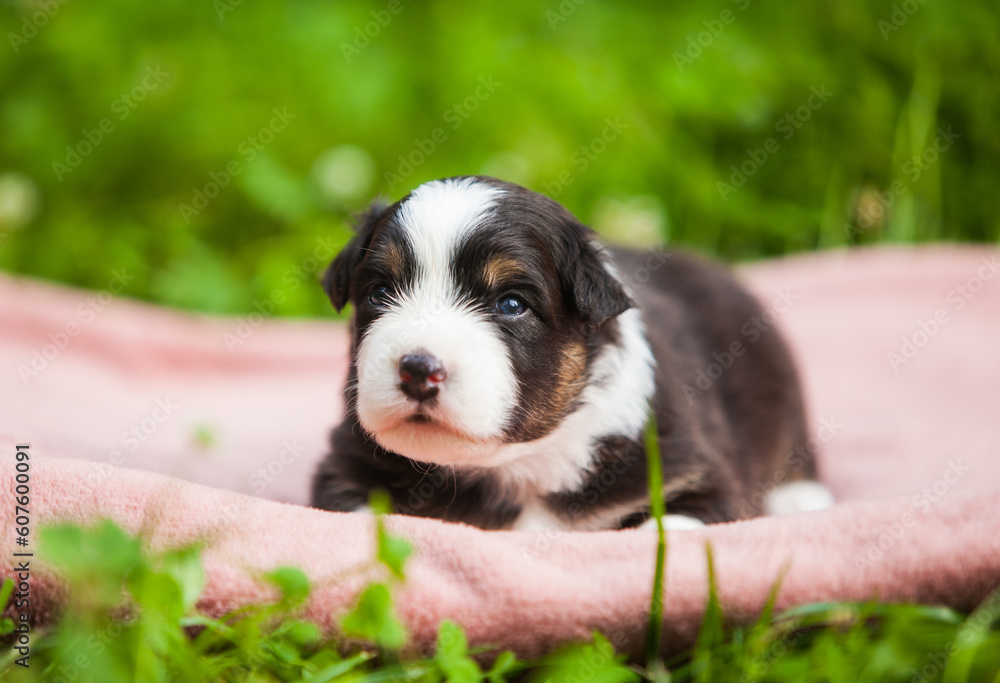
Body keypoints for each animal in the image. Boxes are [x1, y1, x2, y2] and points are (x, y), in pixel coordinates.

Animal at [308, 175, 832, 528]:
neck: (514, 468)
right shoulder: (341, 473)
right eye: (379, 292)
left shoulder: (700, 478)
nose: (418, 369)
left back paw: (801, 500)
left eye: (511, 304)